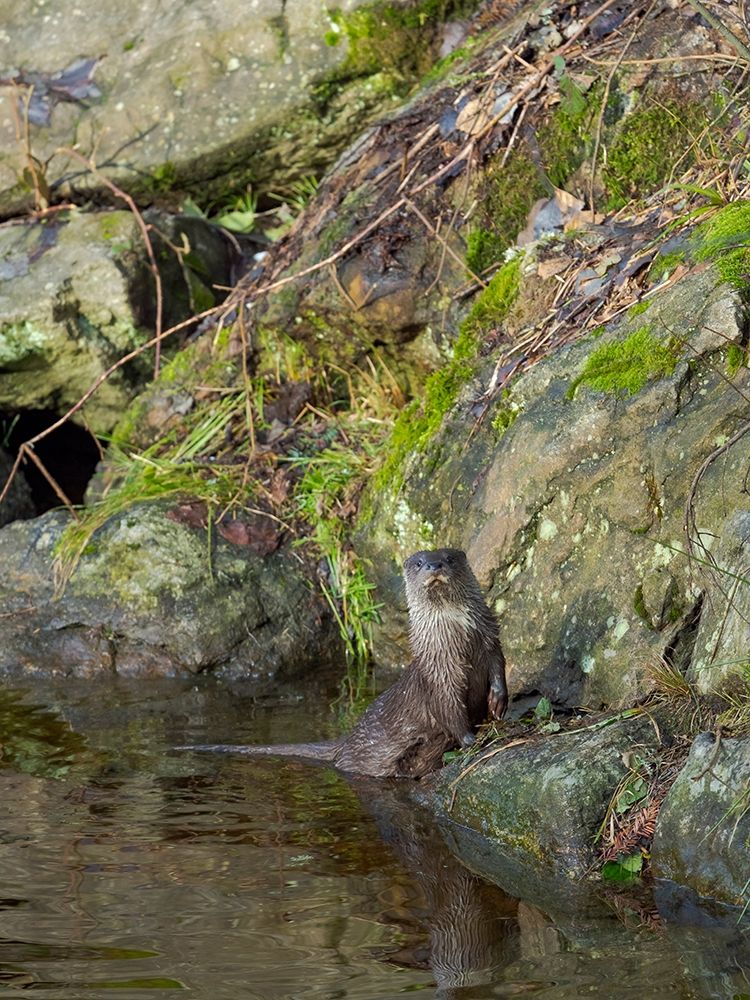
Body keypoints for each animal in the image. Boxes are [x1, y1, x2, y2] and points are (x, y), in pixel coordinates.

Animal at [180, 548, 507, 778]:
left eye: (449, 558)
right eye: (418, 563)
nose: (433, 566)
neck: (459, 643)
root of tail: (347, 740)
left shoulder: (490, 640)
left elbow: (499, 669)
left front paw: (497, 705)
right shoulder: (438, 674)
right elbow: (449, 711)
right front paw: (471, 737)